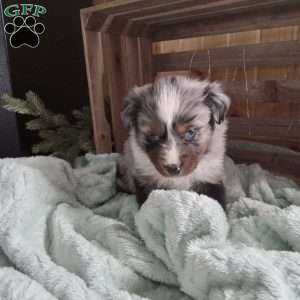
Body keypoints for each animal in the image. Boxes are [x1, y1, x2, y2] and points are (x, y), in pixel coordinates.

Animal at [117, 75, 230, 211]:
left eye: (190, 132)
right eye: (153, 137)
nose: (173, 168)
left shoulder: (211, 177)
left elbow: (216, 204)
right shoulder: (144, 178)